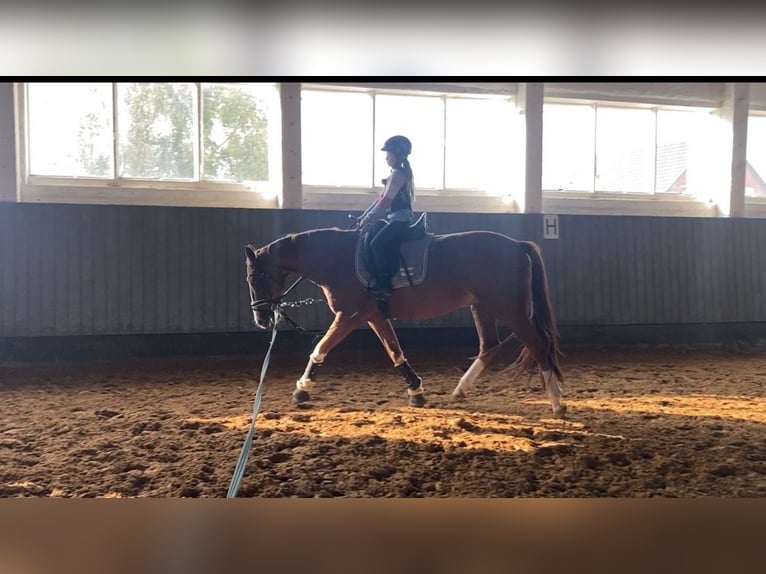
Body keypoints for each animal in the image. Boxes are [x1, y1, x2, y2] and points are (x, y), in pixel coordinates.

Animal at [248, 225, 568, 418]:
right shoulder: (373, 315)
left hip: (510, 309)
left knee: (538, 346)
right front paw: (416, 392)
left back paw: (557, 404)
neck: (336, 259)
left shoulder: (349, 316)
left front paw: (302, 389)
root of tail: (516, 245)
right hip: (483, 307)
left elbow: (320, 349)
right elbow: (395, 351)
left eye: (256, 278)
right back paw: (459, 391)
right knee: (489, 346)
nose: (261, 318)